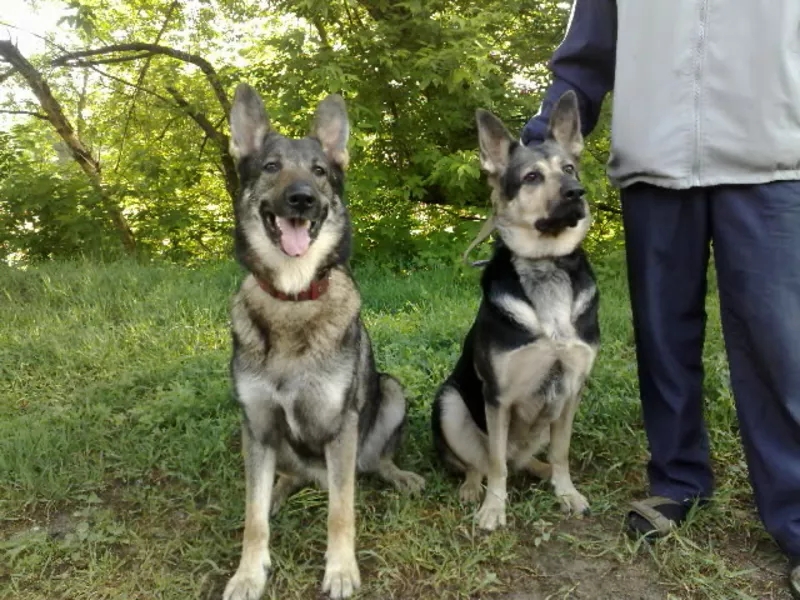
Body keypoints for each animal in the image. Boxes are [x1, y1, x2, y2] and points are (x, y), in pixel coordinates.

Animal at [222, 83, 424, 600]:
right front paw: (248, 573)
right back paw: (278, 492)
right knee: (284, 480)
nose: (302, 200)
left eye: (319, 171)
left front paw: (341, 570)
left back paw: (400, 476)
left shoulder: (340, 429)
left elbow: (341, 512)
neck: (293, 297)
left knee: (373, 463)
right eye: (271, 166)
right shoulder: (257, 425)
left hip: (389, 391)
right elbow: (252, 518)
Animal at [432, 89, 600, 528]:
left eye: (569, 168)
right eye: (532, 177)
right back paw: (473, 488)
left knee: (524, 461)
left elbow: (561, 452)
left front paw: (566, 491)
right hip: (450, 403)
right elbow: (495, 464)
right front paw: (494, 508)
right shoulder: (498, 396)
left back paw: (541, 471)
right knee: (482, 462)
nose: (576, 192)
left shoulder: (571, 388)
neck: (546, 264)